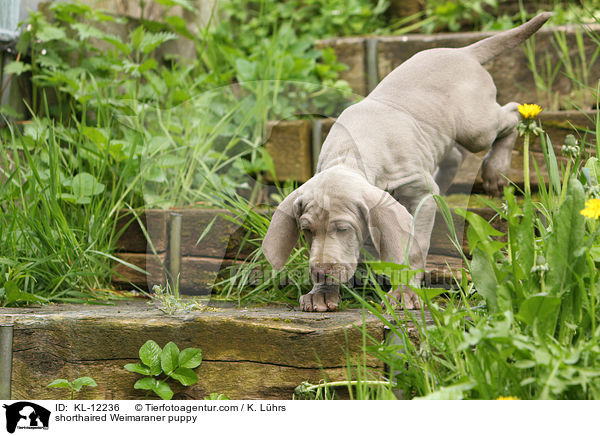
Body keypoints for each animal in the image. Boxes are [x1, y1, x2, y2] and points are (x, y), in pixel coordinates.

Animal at [262, 11, 552, 312]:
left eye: (343, 229)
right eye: (306, 230)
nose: (320, 273)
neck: (348, 155)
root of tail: (464, 52)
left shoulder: (419, 194)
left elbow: (412, 246)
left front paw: (404, 292)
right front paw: (322, 293)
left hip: (475, 128)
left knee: (512, 113)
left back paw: (495, 169)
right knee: (455, 154)